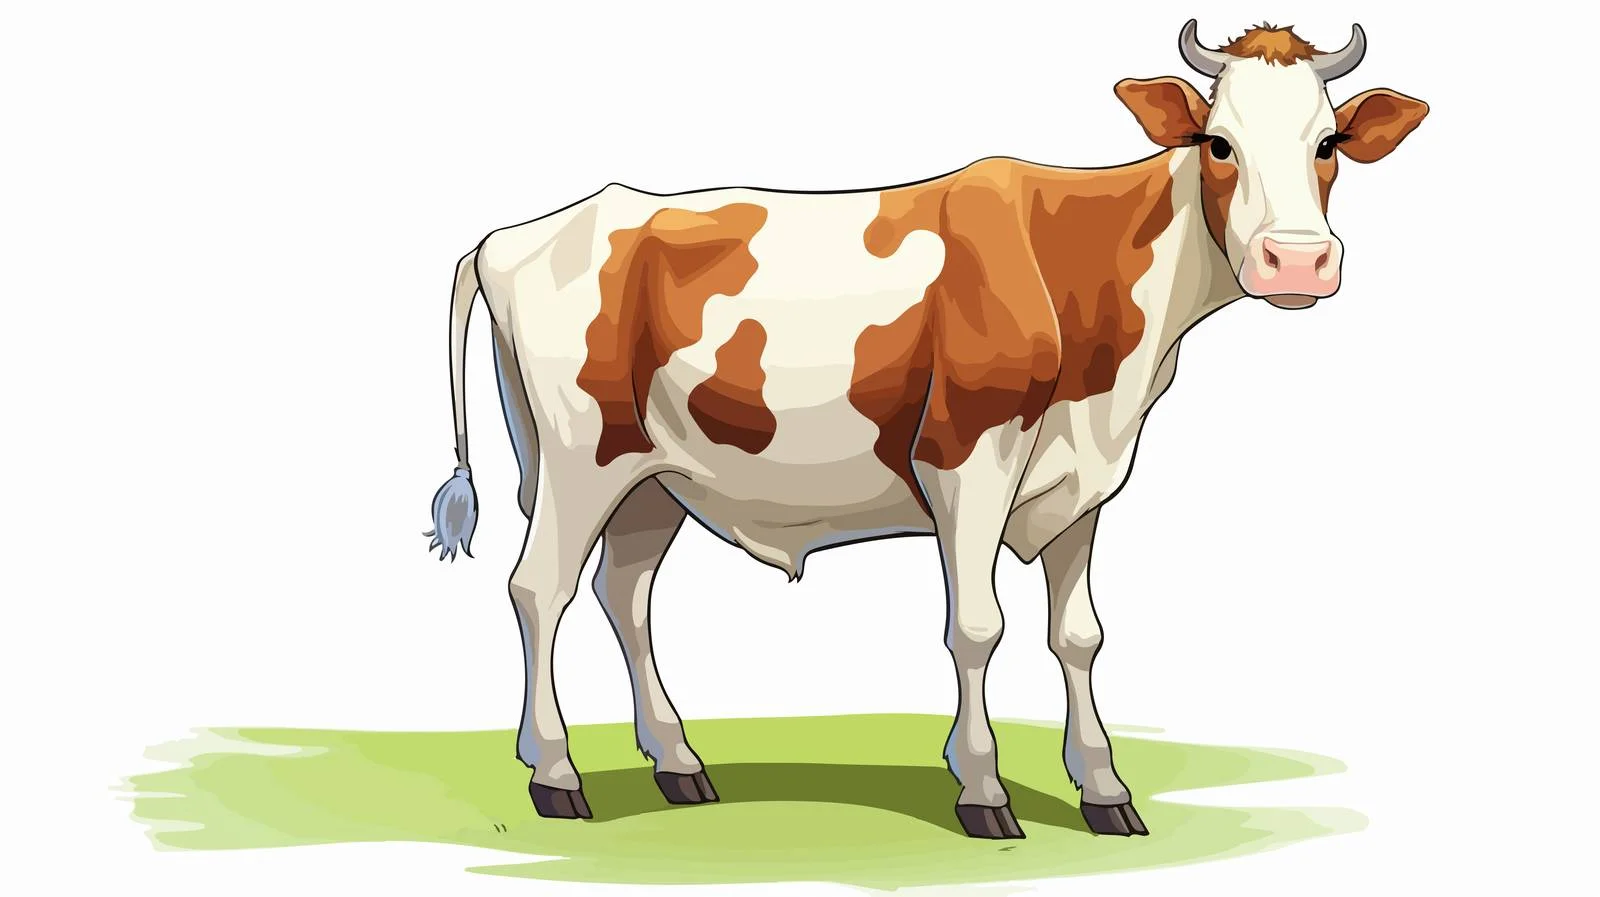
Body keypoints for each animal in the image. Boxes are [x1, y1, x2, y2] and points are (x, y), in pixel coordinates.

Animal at [424, 20, 1427, 839]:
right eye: (1218, 143)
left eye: (1330, 144)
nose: (1296, 262)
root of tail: (520, 234)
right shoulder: (965, 460)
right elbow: (977, 626)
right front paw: (983, 790)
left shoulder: (1085, 479)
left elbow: (1079, 634)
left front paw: (1104, 790)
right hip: (577, 455)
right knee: (540, 589)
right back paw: (557, 773)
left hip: (652, 474)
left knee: (624, 594)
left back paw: (678, 763)